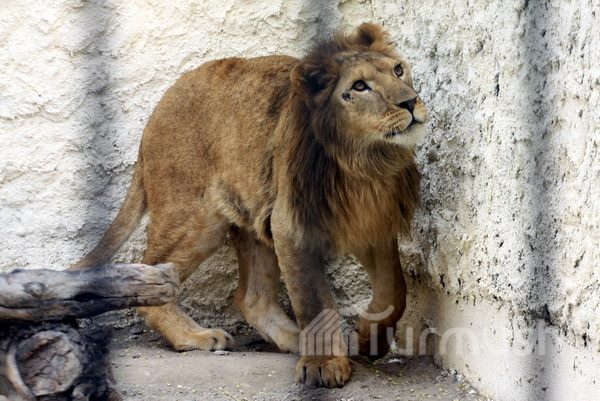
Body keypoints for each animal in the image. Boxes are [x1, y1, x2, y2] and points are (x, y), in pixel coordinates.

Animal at [71, 23, 428, 388]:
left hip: (252, 216)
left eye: (398, 70)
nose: (410, 102)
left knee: (251, 297)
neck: (364, 162)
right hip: (198, 219)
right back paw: (197, 336)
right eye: (359, 86)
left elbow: (394, 291)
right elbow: (313, 299)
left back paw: (297, 339)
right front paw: (324, 364)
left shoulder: (374, 222)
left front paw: (370, 340)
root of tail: (149, 125)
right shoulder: (290, 225)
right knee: (152, 272)